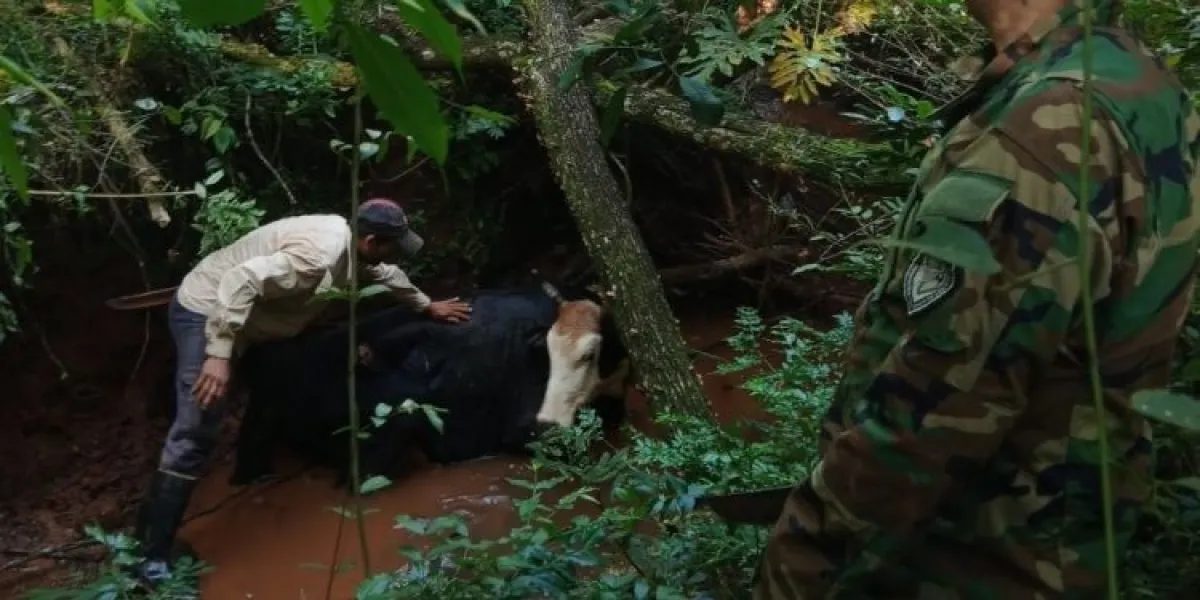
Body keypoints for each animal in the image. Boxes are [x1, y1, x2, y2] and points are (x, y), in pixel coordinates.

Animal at [228, 280, 632, 487]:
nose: (549, 422)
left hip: (260, 423)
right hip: (378, 444)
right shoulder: (520, 429)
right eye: (548, 350)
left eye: (589, 353)